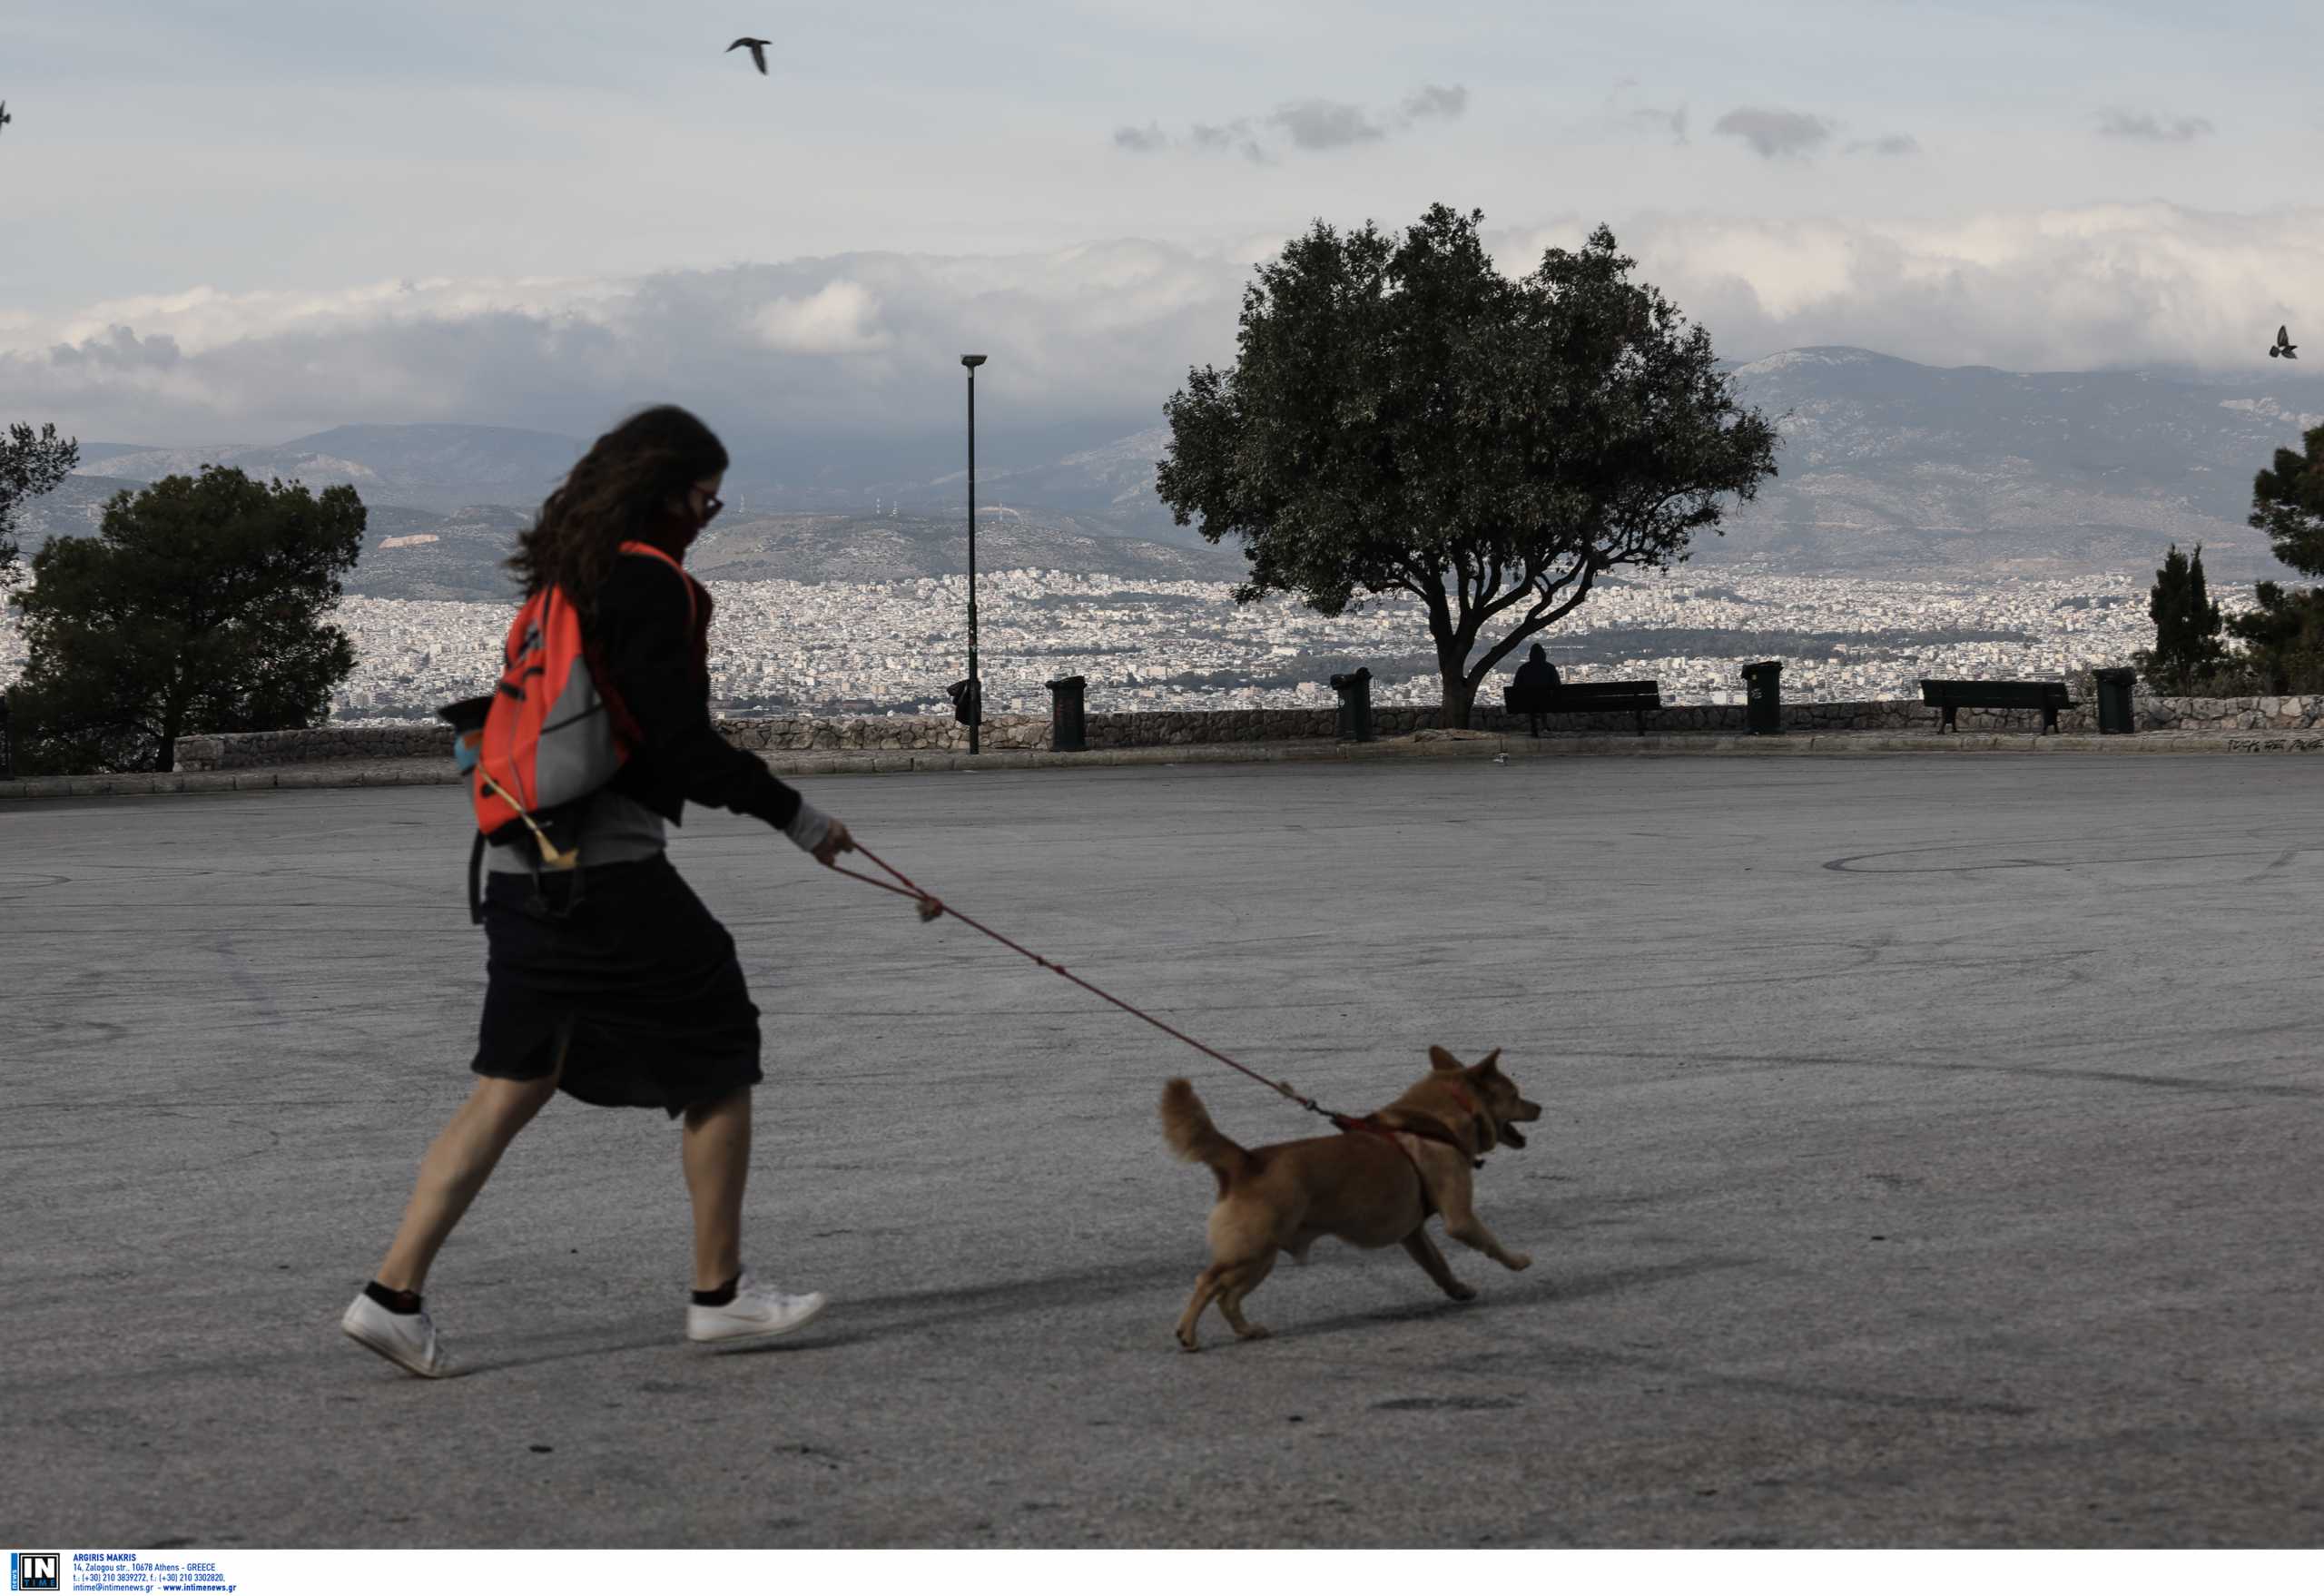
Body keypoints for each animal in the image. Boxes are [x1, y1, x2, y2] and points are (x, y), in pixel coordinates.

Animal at [1162, 1049, 1542, 1347]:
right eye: (1515, 1094)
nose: (1539, 1106)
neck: (1434, 1122)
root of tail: (1246, 1160)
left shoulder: (1413, 1234)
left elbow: (1438, 1265)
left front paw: (1458, 1289)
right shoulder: (1460, 1219)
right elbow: (1488, 1241)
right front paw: (1517, 1261)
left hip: (1259, 1260)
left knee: (1227, 1297)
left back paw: (1246, 1330)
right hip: (1250, 1251)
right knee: (1207, 1283)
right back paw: (1188, 1334)